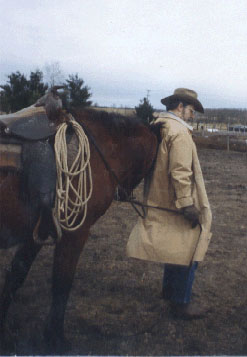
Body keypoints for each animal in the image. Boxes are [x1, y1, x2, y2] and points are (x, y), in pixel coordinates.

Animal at [0, 100, 158, 350]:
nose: (124, 193)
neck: (98, 150)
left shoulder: (38, 232)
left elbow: (16, 275)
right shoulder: (74, 234)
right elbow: (62, 283)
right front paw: (55, 338)